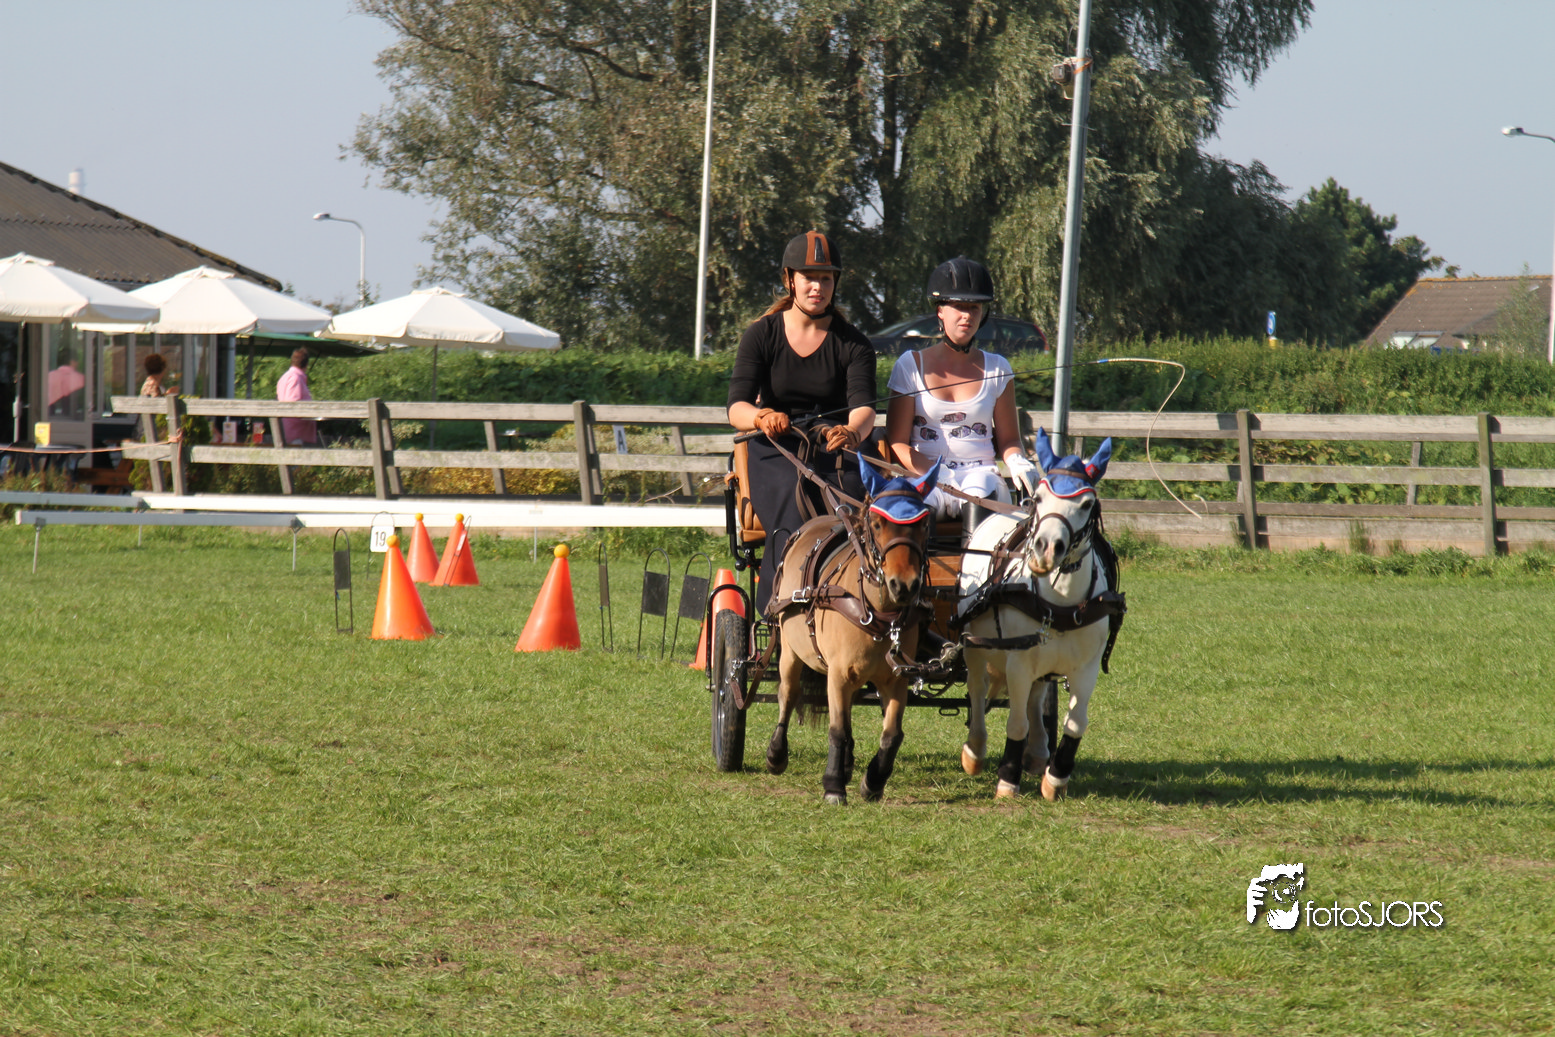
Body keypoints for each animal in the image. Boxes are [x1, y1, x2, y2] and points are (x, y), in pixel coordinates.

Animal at [763, 451, 941, 804]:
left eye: (924, 523)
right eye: (877, 523)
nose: (904, 585)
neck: (878, 614)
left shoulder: (895, 678)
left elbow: (892, 734)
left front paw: (872, 781)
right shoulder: (838, 674)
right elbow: (837, 730)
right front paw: (833, 784)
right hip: (790, 650)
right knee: (788, 694)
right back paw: (777, 753)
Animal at [955, 430, 1125, 800]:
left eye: (1086, 504)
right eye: (1039, 498)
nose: (1046, 549)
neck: (1061, 602)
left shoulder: (1087, 667)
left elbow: (1075, 722)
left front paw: (1056, 776)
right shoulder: (1017, 663)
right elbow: (1015, 722)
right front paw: (1008, 777)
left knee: (1036, 698)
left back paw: (1037, 752)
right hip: (975, 646)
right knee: (977, 690)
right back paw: (975, 750)